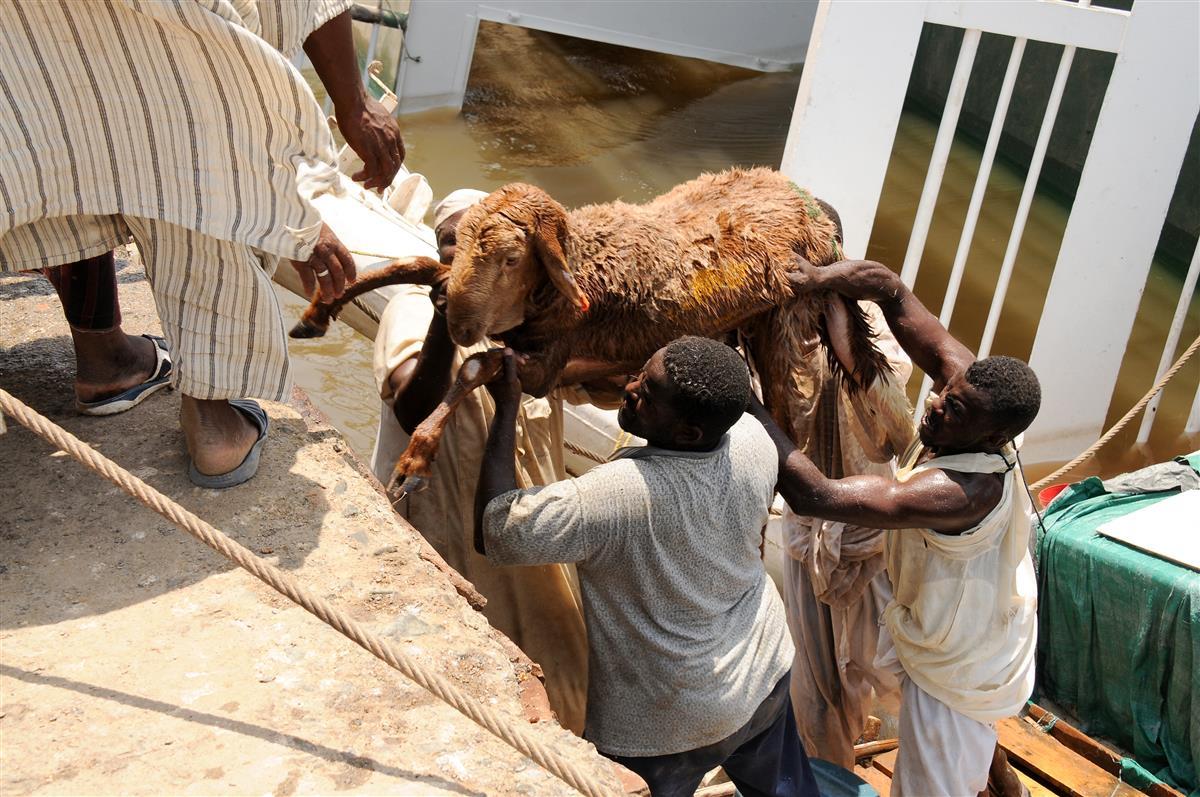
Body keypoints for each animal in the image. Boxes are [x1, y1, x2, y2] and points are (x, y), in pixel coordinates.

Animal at [295, 166, 902, 492]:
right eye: (459, 240)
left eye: (512, 259)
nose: (460, 323)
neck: (584, 265)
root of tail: (808, 203)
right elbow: (414, 266)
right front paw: (318, 311)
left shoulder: (545, 365)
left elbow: (476, 368)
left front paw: (415, 460)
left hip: (783, 326)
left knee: (790, 421)